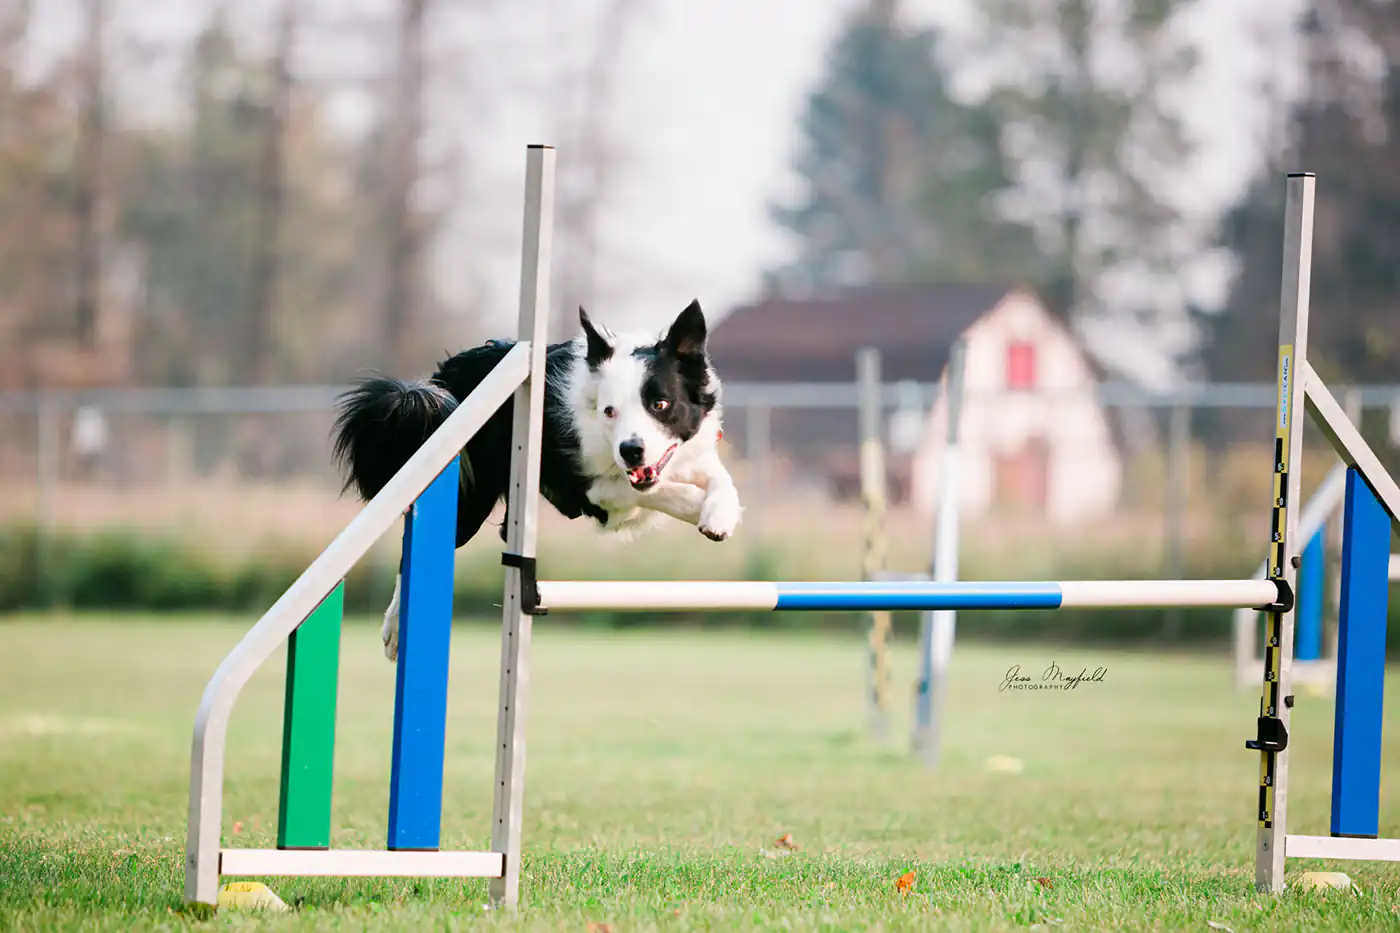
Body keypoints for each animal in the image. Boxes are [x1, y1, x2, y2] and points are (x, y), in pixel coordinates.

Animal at [333, 301, 744, 658]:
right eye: (610, 411)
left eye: (660, 404)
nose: (631, 450)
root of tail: (444, 374)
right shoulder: (586, 491)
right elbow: (660, 492)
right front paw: (700, 507)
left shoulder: (688, 454)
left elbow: (719, 480)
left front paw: (720, 514)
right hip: (467, 497)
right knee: (411, 553)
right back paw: (395, 630)